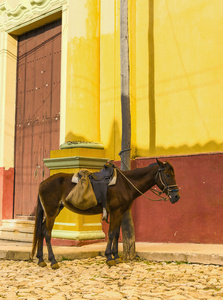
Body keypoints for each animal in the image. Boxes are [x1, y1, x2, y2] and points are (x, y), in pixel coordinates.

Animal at [31, 159, 180, 270]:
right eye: (168, 175)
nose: (176, 196)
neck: (126, 184)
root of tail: (42, 183)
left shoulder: (121, 212)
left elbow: (117, 233)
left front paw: (116, 257)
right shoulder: (115, 211)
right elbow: (112, 233)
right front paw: (109, 257)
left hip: (52, 211)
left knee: (41, 231)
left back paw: (40, 260)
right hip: (51, 212)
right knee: (46, 233)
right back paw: (53, 261)